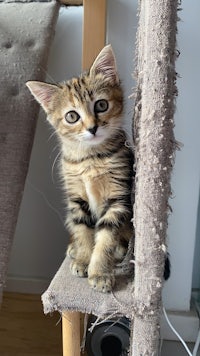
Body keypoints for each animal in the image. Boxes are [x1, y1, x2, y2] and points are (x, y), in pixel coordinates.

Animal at [25, 44, 134, 292]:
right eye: (72, 116)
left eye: (101, 105)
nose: (92, 128)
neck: (90, 159)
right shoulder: (76, 197)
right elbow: (83, 230)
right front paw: (84, 259)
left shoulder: (117, 198)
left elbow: (105, 238)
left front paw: (100, 272)